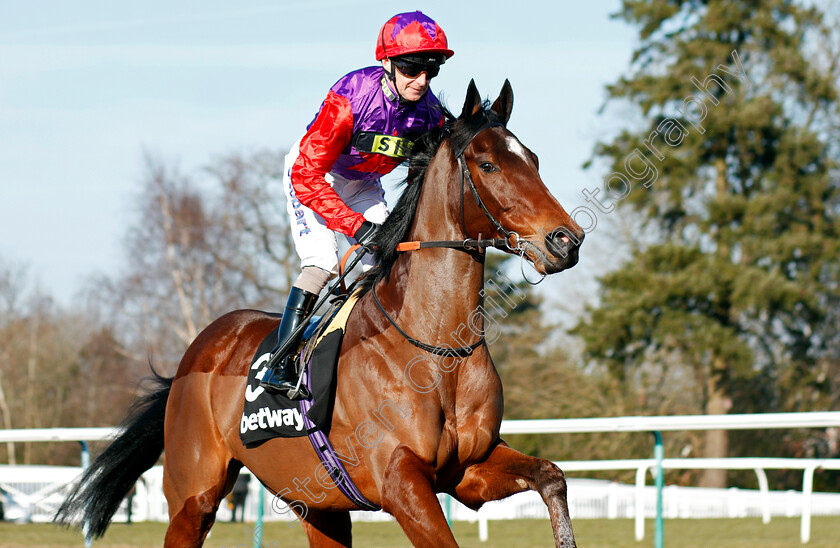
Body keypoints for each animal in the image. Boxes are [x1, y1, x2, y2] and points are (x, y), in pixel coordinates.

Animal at [57, 81, 584, 548]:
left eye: (533, 160)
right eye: (489, 164)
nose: (566, 239)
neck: (438, 347)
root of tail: (196, 353)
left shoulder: (467, 470)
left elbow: (551, 476)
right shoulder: (399, 480)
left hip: (317, 504)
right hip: (194, 496)